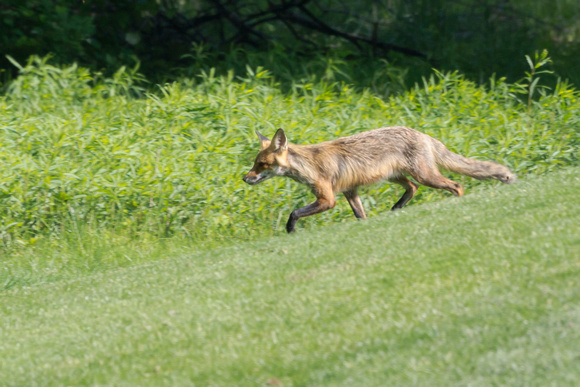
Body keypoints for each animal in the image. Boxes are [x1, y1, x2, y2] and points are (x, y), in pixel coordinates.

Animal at [242, 127, 516, 233]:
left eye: (262, 165)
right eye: (255, 163)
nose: (245, 177)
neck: (309, 164)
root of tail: (423, 134)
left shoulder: (328, 199)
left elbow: (294, 212)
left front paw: (290, 230)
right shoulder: (350, 191)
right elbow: (360, 216)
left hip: (425, 176)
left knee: (456, 185)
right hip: (397, 177)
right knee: (412, 188)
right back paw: (397, 208)